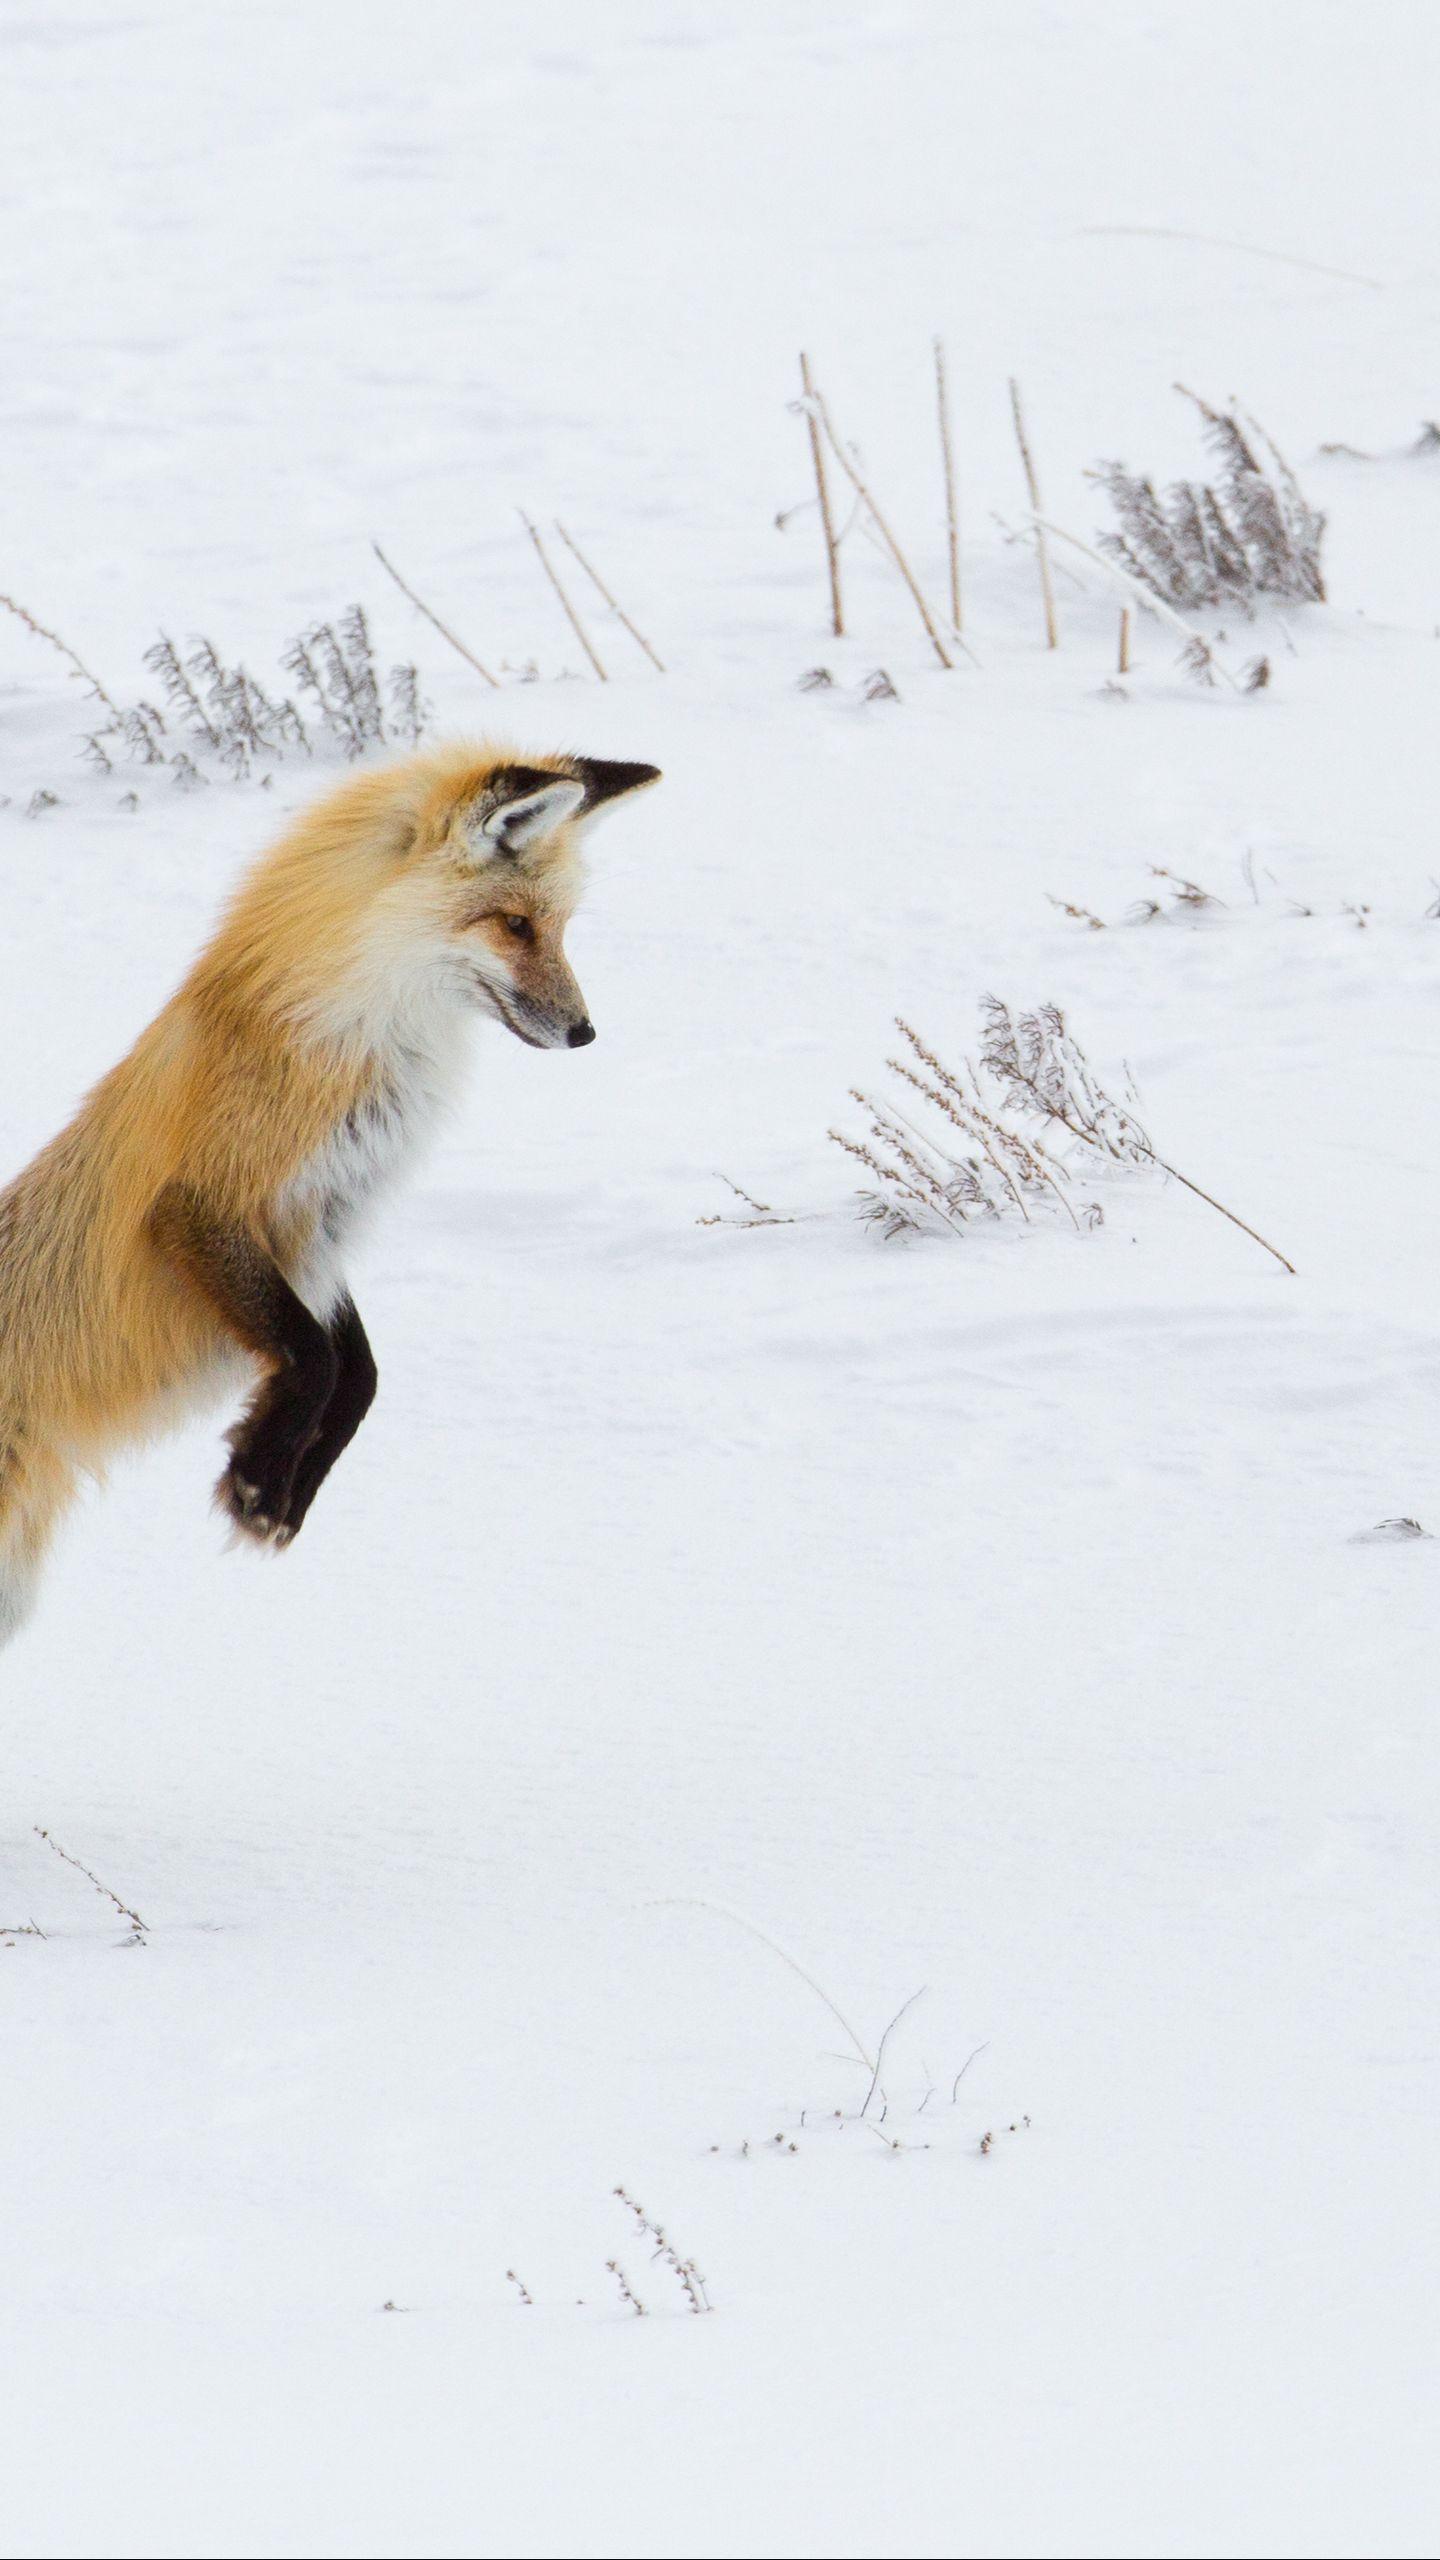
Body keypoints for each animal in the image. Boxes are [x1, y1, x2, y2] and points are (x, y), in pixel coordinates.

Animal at [0, 742, 660, 1648]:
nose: (585, 1032)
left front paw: (281, 1491)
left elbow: (359, 1373)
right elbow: (313, 1357)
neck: (362, 1043)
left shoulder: (320, 1225)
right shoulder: (204, 1207)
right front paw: (257, 1477)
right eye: (514, 924)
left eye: (560, 926)